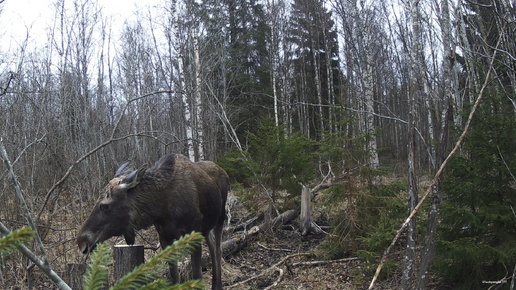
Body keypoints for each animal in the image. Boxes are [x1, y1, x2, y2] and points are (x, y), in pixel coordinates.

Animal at [76, 153, 228, 288]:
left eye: (104, 205)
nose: (81, 241)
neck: (160, 208)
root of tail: (223, 170)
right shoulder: (165, 238)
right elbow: (174, 277)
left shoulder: (193, 234)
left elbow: (197, 276)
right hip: (206, 228)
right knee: (212, 244)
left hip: (220, 218)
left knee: (218, 248)